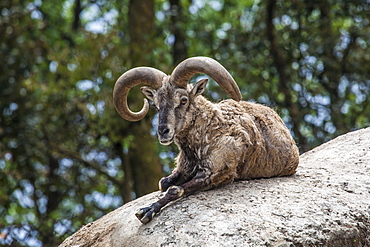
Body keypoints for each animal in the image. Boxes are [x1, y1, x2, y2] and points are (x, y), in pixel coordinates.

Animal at [111, 56, 300, 224]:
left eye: (183, 100)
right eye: (156, 105)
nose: (163, 131)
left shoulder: (216, 173)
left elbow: (174, 190)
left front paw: (147, 211)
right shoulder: (184, 169)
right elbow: (164, 183)